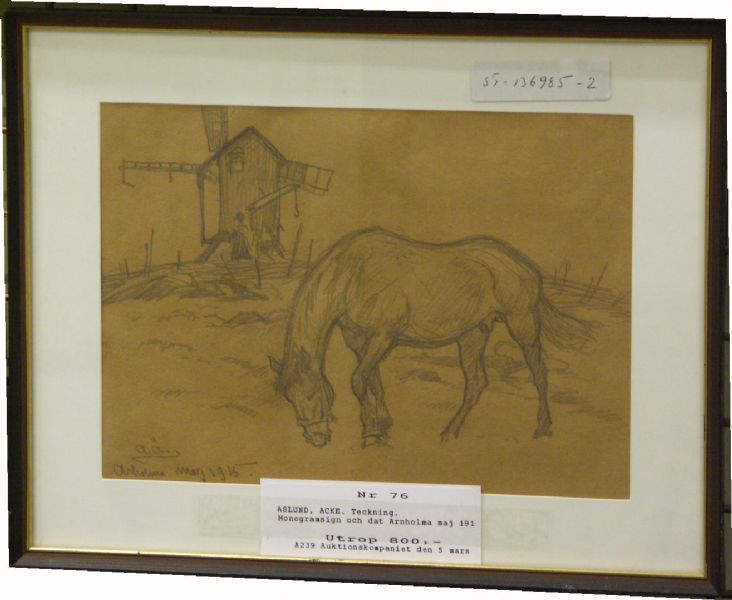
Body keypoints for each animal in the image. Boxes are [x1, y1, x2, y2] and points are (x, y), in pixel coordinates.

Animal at [268, 227, 592, 447]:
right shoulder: (357, 338)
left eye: (313, 394)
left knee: (539, 373)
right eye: (289, 397)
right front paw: (383, 426)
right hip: (472, 335)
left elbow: (359, 379)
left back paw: (542, 427)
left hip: (522, 324)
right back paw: (449, 433)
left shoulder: (383, 336)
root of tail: (524, 266)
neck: (353, 273)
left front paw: (370, 431)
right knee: (476, 383)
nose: (316, 437)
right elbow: (374, 380)